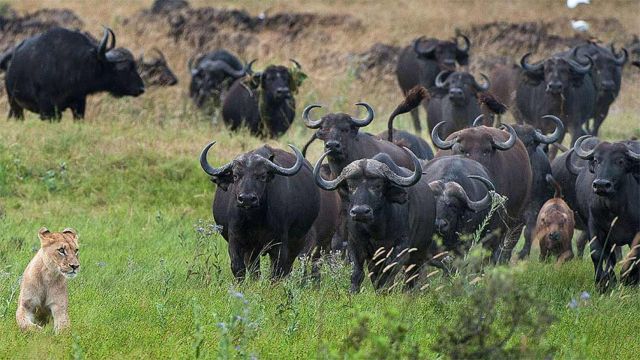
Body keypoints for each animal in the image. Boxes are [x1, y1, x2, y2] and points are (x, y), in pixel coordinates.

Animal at [200, 142, 320, 280]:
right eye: (235, 176)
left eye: (262, 176)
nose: (246, 199)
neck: (255, 219)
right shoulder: (236, 240)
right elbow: (239, 268)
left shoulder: (279, 243)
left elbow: (277, 271)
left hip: (299, 240)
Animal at [314, 149, 438, 292]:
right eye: (351, 186)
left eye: (378, 185)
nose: (360, 212)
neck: (376, 228)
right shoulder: (355, 244)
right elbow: (357, 273)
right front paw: (353, 292)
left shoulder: (402, 247)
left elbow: (389, 271)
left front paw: (385, 291)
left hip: (420, 251)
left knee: (412, 275)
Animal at [572, 136, 636, 292]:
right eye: (596, 160)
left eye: (620, 161)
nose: (601, 184)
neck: (615, 210)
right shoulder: (594, 226)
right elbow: (597, 253)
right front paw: (603, 283)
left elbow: (633, 256)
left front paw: (629, 280)